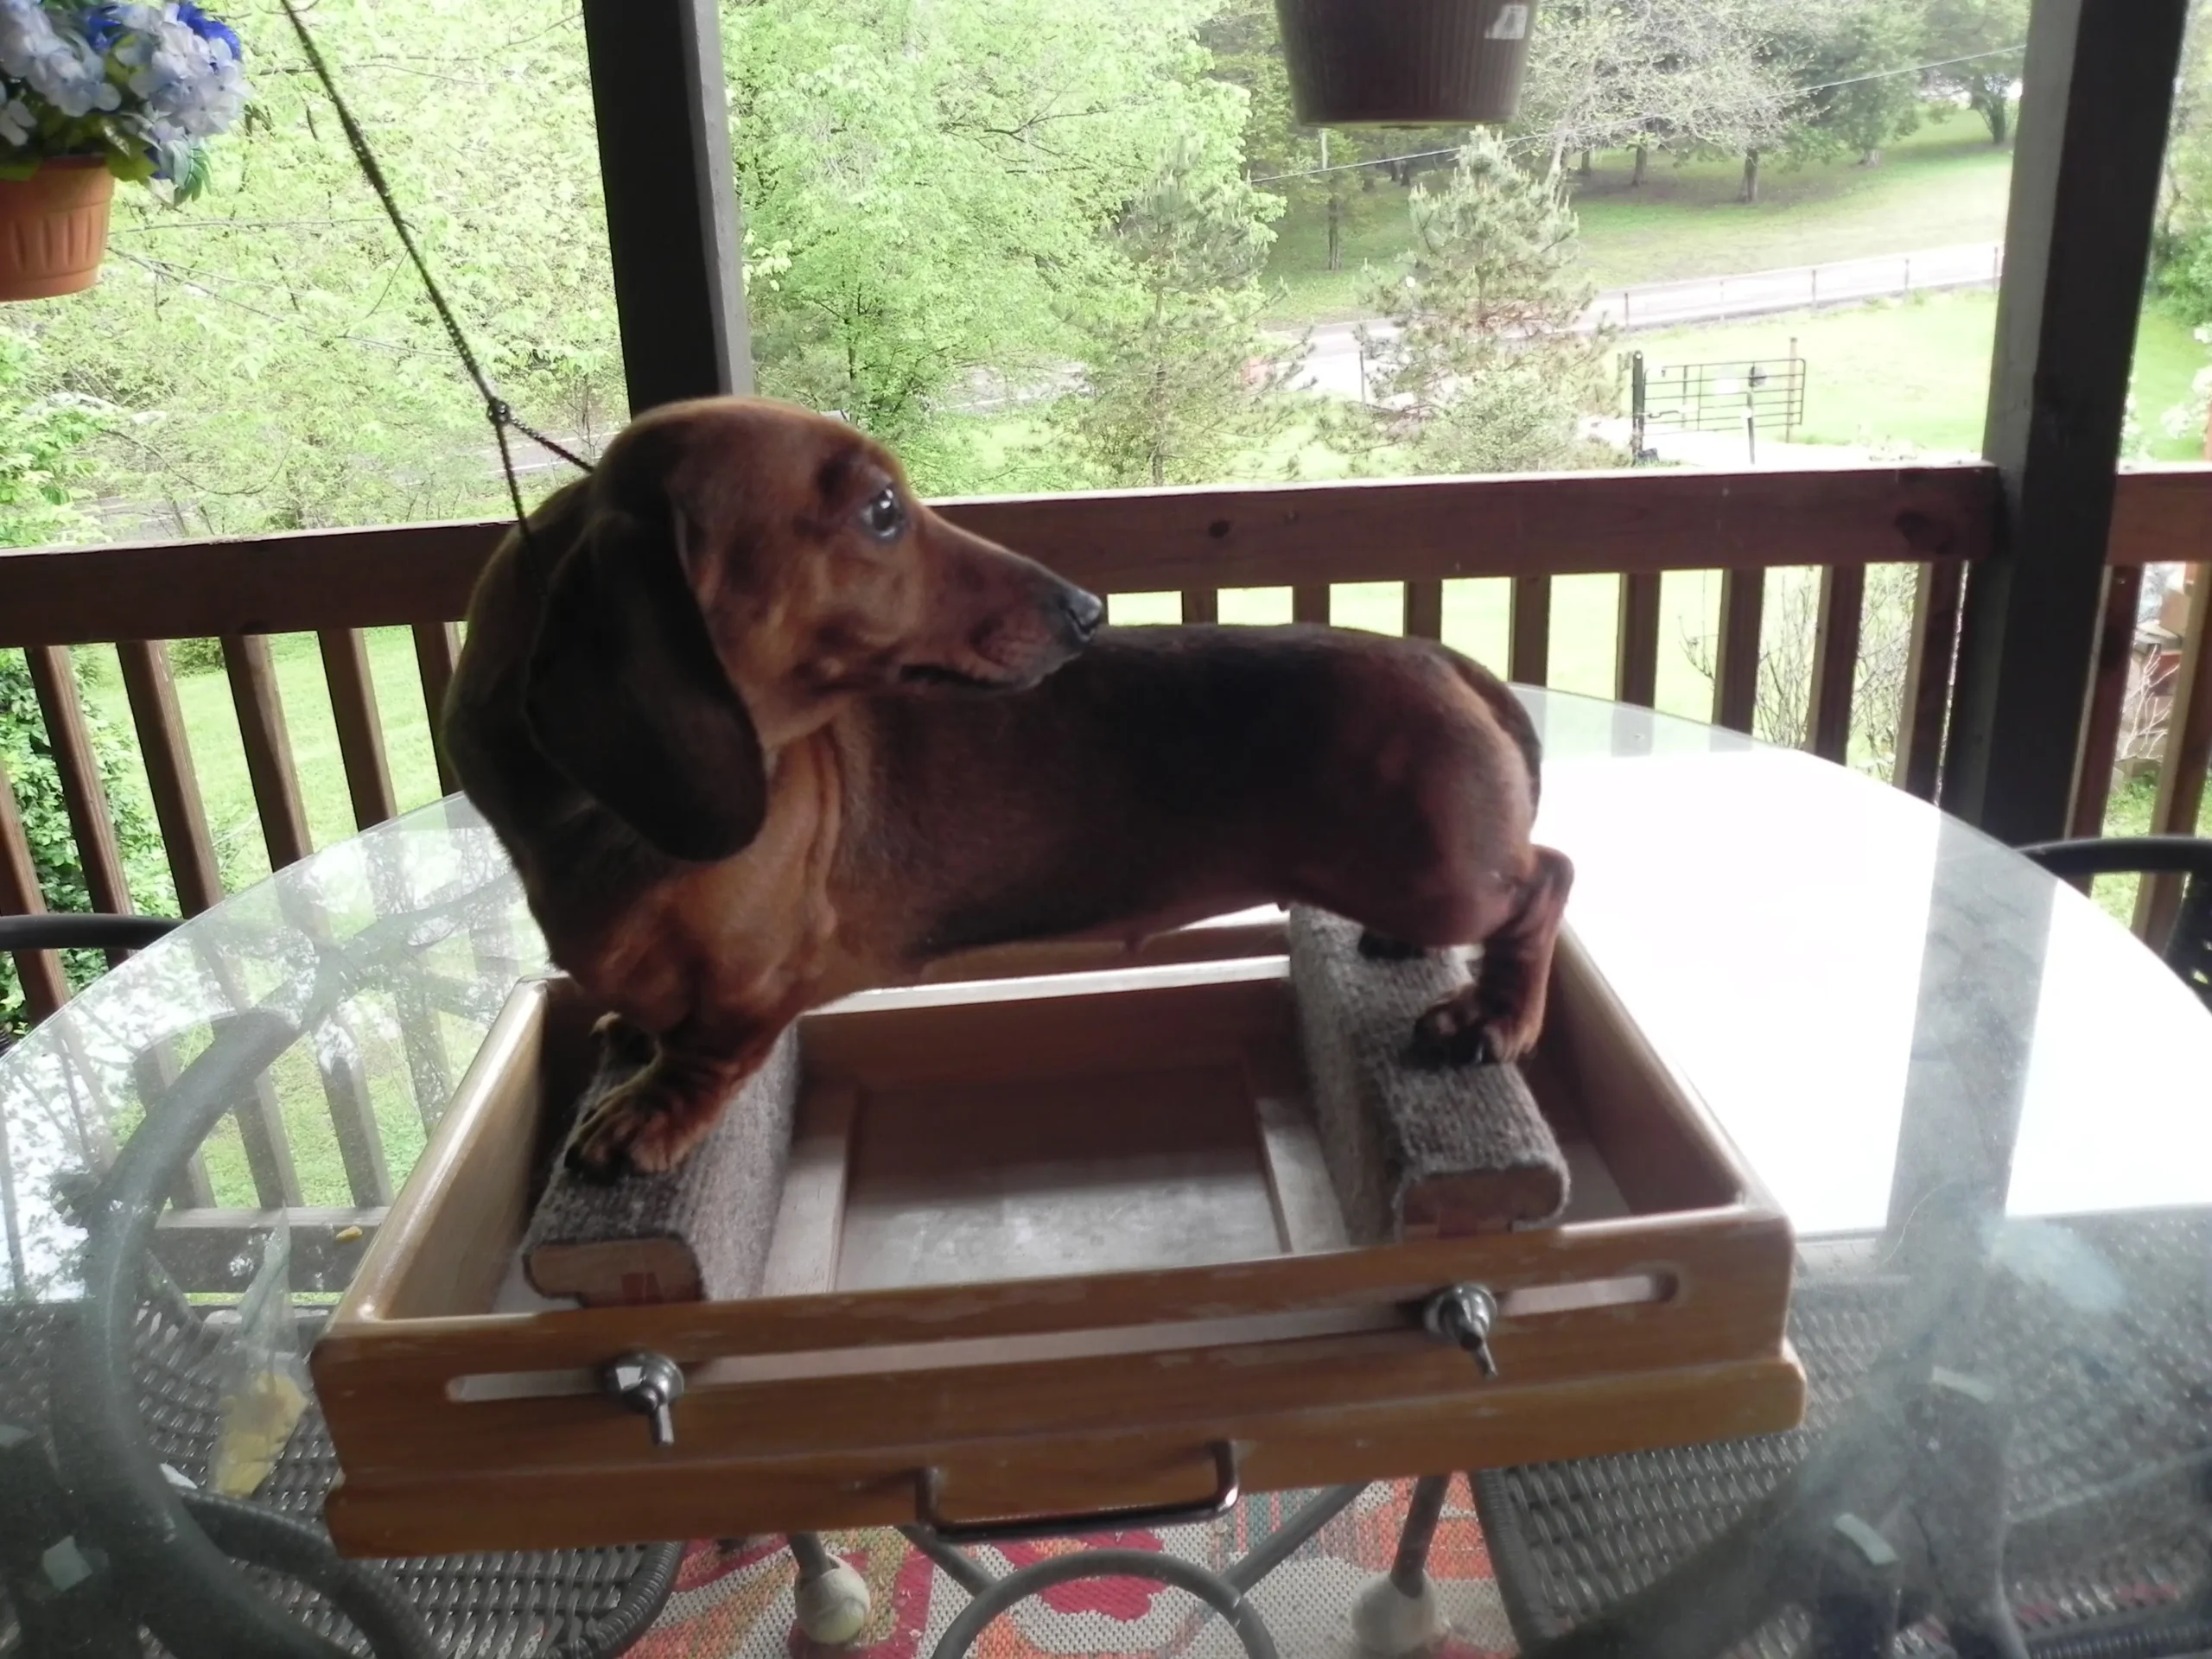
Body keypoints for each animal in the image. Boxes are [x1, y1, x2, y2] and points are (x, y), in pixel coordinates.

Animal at [445, 396, 1573, 1176]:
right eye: (883, 511)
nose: (1089, 611)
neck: (591, 831)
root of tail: (1446, 662)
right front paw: (630, 1036)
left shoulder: (754, 986)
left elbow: (708, 1052)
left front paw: (648, 1111)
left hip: (1439, 873)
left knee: (1546, 877)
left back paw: (1494, 1019)